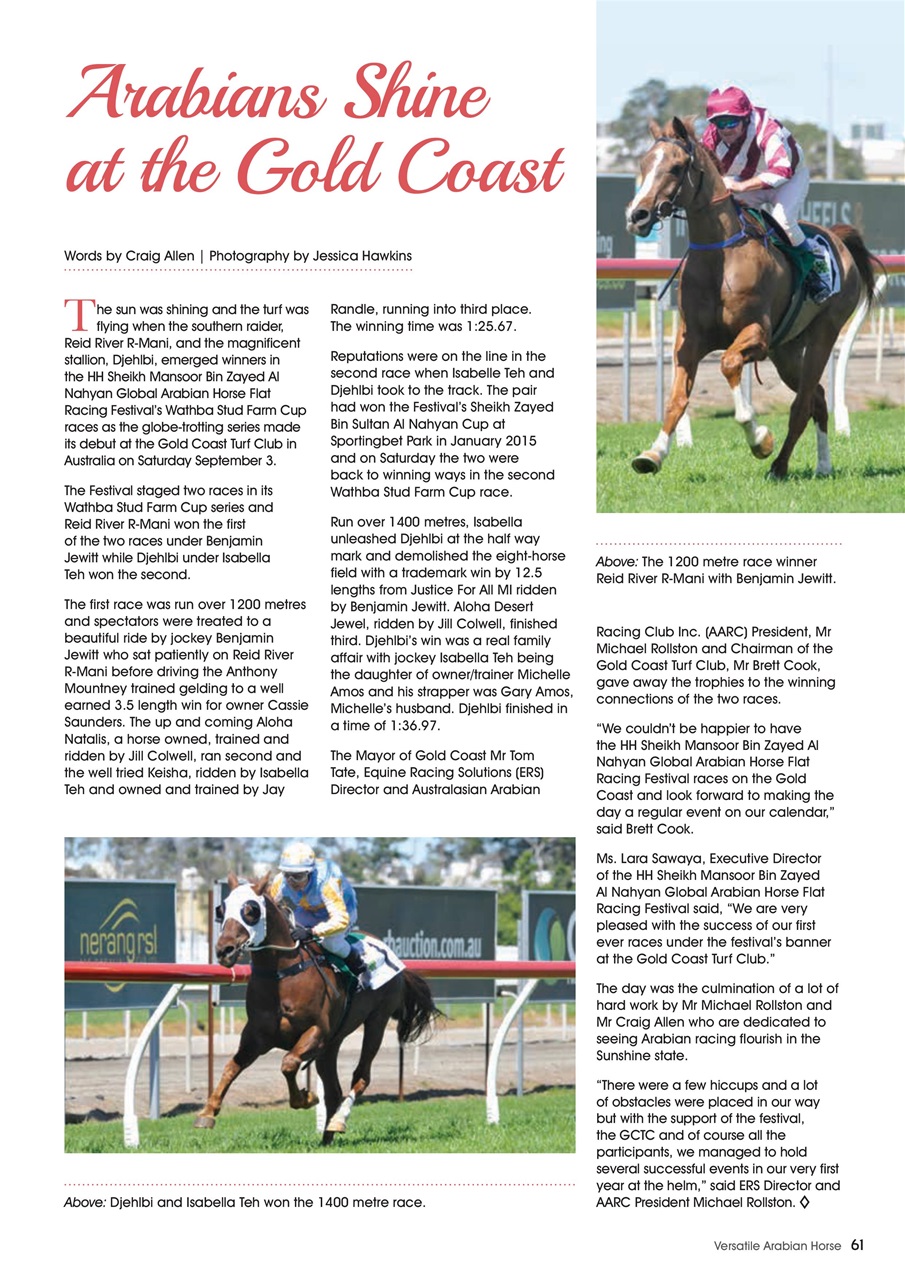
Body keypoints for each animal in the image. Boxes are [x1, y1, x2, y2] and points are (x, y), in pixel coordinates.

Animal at [194, 873, 440, 1144]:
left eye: (250, 910)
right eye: (221, 910)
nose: (224, 950)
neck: (283, 975)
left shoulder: (316, 1031)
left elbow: (289, 1063)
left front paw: (306, 1097)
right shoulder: (256, 1036)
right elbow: (231, 1067)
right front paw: (207, 1112)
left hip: (377, 1020)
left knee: (361, 1076)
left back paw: (339, 1121)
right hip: (333, 1043)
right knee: (333, 1090)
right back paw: (327, 1136)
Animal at [625, 117, 879, 479]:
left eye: (675, 167)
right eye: (644, 164)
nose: (638, 216)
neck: (720, 257)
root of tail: (839, 240)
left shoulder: (757, 334)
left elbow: (729, 363)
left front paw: (759, 437)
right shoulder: (690, 340)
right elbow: (676, 400)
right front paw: (653, 453)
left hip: (823, 333)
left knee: (802, 403)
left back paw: (780, 465)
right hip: (786, 350)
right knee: (816, 397)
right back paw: (823, 464)